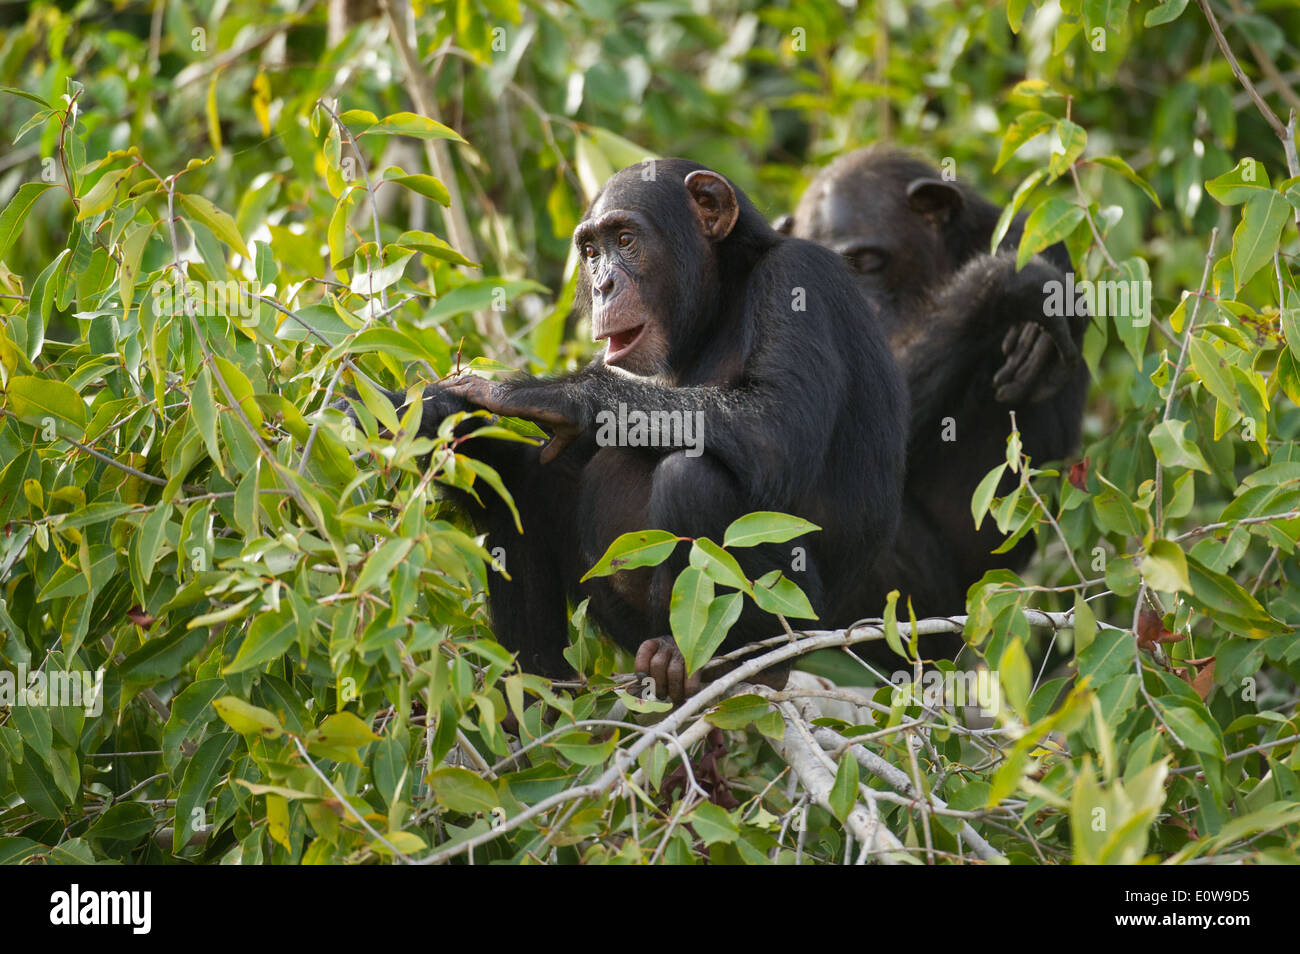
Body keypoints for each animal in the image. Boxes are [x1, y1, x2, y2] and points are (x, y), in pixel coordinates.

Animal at [361, 160, 909, 701]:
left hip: (795, 614)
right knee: (516, 495)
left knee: (692, 479)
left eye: (625, 240)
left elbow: (776, 426)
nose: (602, 284)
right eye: (590, 252)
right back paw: (540, 695)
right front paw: (426, 413)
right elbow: (525, 467)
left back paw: (731, 662)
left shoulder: (801, 279)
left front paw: (552, 394)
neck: (718, 306)